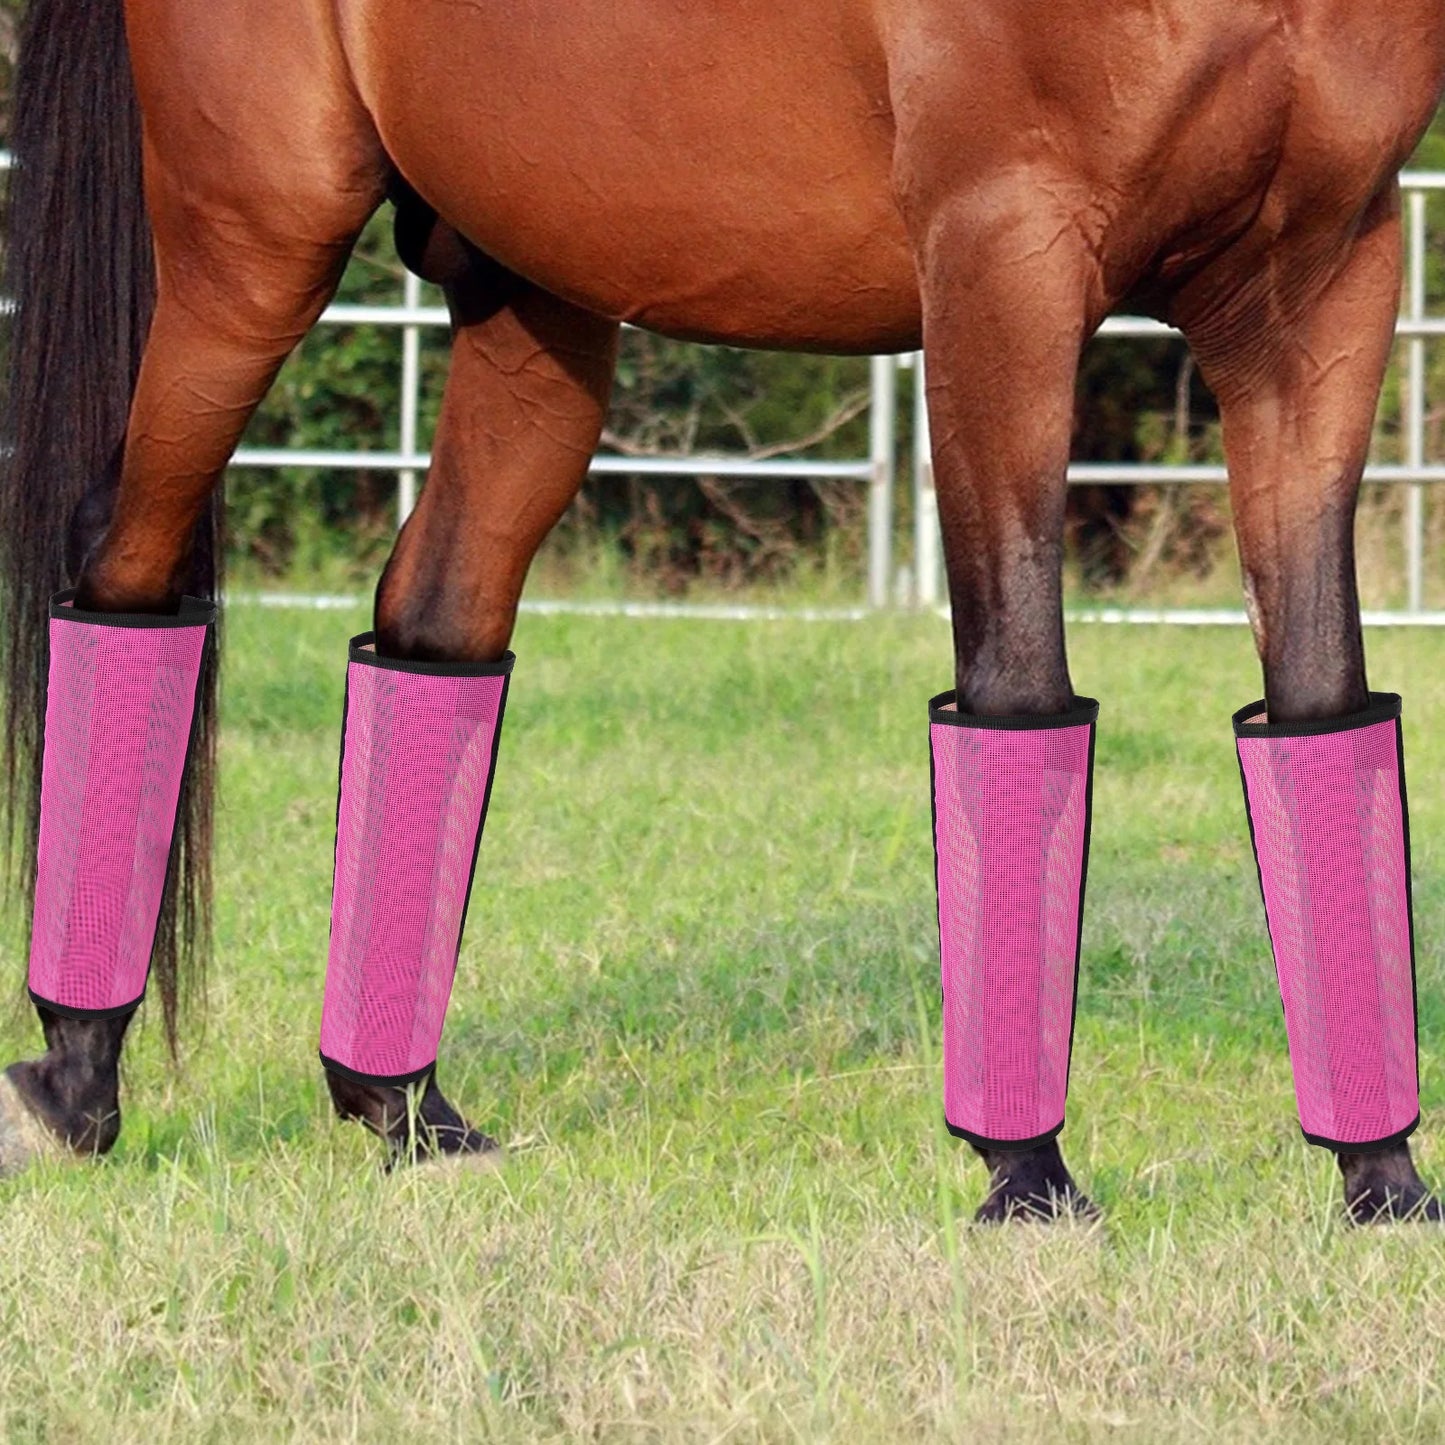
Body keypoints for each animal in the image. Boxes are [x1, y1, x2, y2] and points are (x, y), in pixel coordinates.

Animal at [0, 0, 1442, 1224]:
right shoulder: (1003, 257)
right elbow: (1016, 686)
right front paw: (1027, 1183)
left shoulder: (1321, 286)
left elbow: (1321, 700)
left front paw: (1382, 1190)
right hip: (259, 242)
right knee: (122, 567)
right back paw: (71, 1082)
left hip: (532, 306)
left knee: (430, 623)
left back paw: (405, 1111)